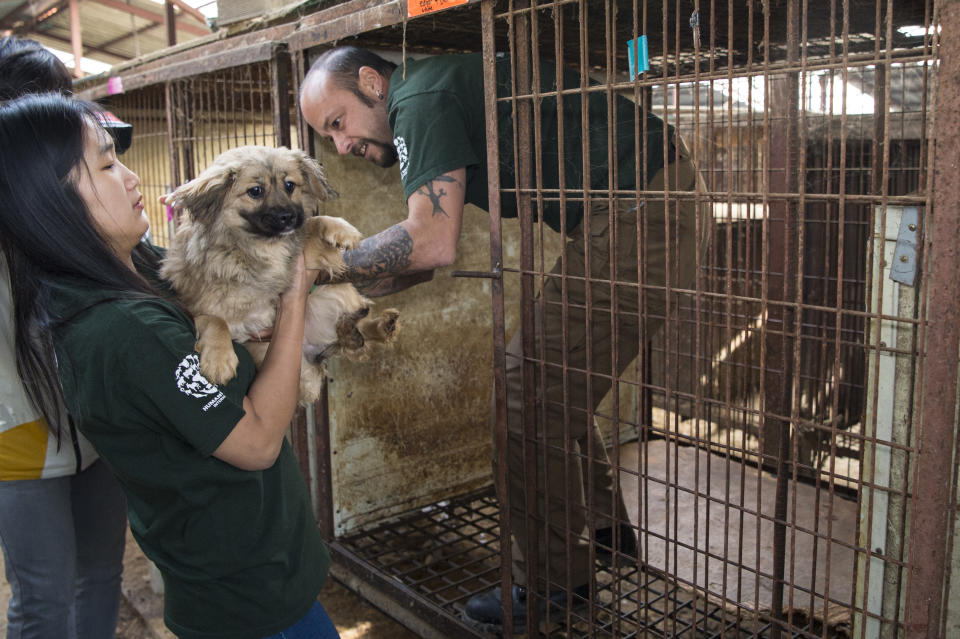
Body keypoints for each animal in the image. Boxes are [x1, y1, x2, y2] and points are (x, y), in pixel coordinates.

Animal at [159, 148, 400, 402]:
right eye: (255, 191)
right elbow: (215, 320)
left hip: (331, 293)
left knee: (359, 325)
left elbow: (312, 223)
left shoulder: (302, 257)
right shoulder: (203, 308)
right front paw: (219, 359)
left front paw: (341, 229)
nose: (287, 217)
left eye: (290, 185)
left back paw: (379, 326)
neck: (259, 247)